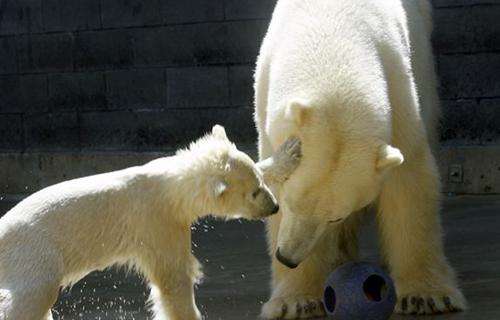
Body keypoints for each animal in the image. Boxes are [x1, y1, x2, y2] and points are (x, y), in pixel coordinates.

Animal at [256, 0, 466, 318]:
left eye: (335, 216)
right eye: (288, 201)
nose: (287, 257)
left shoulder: (399, 87)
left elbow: (409, 181)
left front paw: (426, 297)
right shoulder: (266, 97)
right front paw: (296, 302)